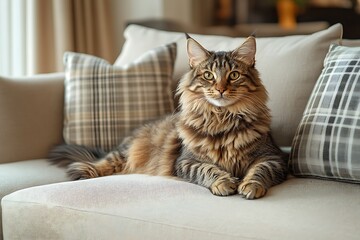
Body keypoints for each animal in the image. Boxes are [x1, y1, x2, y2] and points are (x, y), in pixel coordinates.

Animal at [50, 33, 286, 199]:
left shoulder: (273, 157)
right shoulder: (186, 161)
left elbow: (259, 171)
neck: (222, 118)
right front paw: (224, 182)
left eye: (234, 75)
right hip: (125, 152)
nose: (220, 89)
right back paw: (84, 173)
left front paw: (250, 185)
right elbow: (207, 169)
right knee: (100, 161)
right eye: (208, 75)